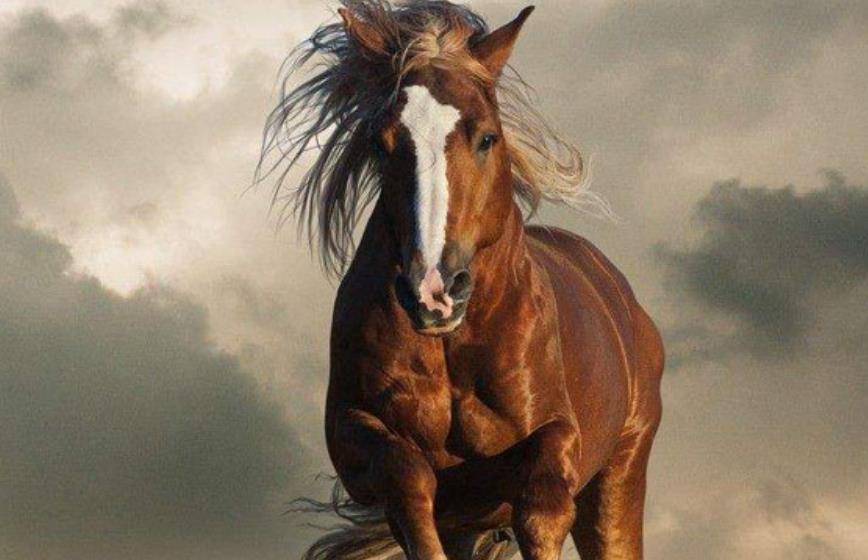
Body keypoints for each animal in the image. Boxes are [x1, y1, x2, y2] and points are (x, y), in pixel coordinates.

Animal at [260, 2, 664, 559]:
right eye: (381, 144)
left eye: (487, 137)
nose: (434, 291)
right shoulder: (354, 435)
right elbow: (406, 475)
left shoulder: (557, 437)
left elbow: (542, 499)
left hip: (620, 475)